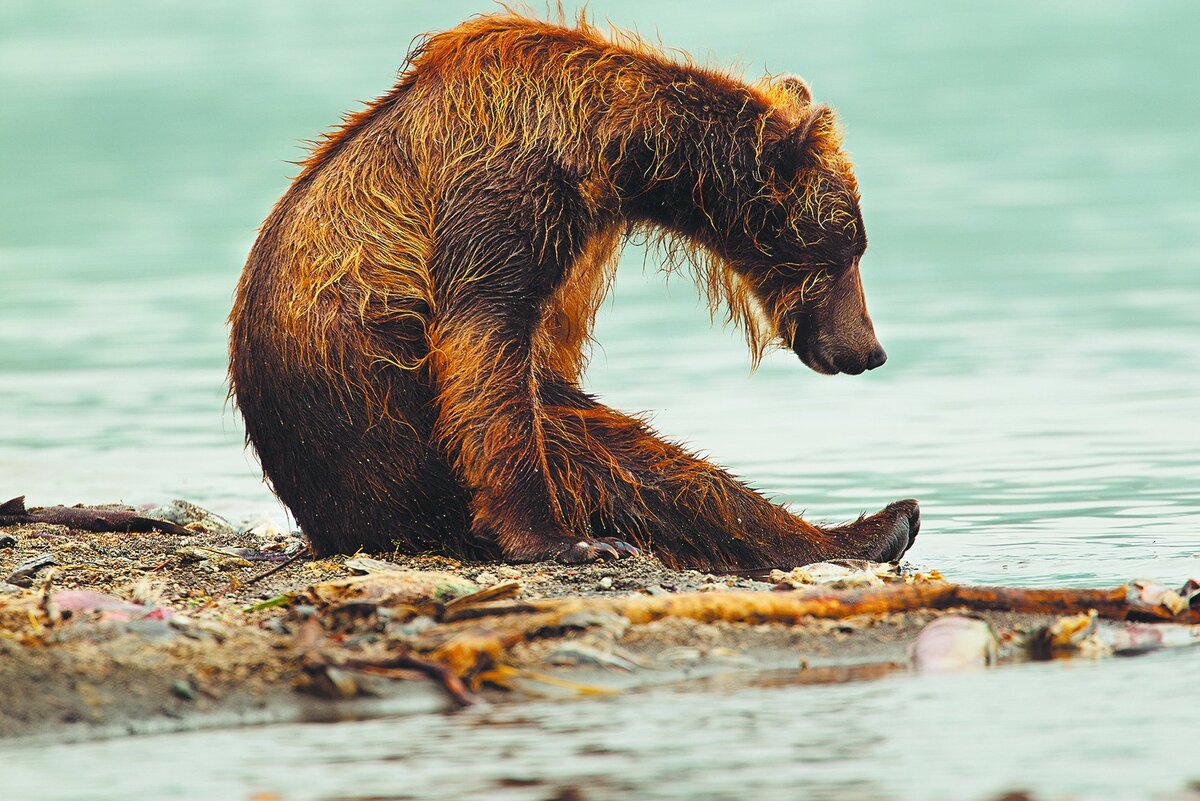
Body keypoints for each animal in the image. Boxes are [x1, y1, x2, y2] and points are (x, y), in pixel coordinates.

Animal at [229, 7, 921, 568]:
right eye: (847, 252)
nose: (869, 350)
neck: (615, 150)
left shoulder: (579, 241)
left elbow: (545, 353)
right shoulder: (506, 186)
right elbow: (487, 346)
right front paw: (561, 539)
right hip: (388, 445)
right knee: (594, 448)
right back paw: (862, 533)